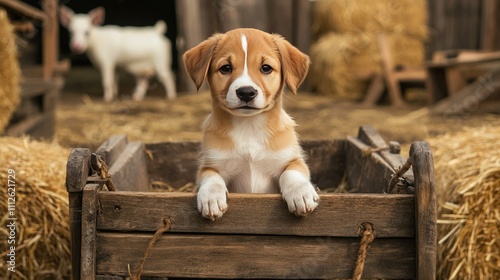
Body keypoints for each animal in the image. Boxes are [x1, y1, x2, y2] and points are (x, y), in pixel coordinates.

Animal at [184, 28, 320, 221]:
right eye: (226, 68)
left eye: (266, 68)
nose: (246, 92)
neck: (249, 127)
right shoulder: (211, 164)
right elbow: (212, 177)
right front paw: (211, 198)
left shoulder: (291, 159)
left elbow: (291, 173)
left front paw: (300, 193)